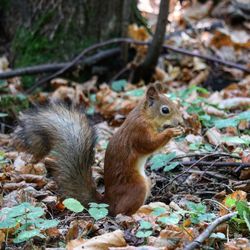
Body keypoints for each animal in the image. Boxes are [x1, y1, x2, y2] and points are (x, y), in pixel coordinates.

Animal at [12, 83, 185, 216]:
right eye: (165, 110)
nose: (180, 121)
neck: (145, 116)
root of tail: (107, 203)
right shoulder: (138, 132)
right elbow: (149, 144)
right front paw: (171, 132)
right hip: (137, 187)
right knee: (121, 213)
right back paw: (140, 214)